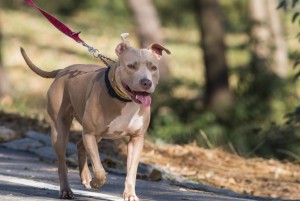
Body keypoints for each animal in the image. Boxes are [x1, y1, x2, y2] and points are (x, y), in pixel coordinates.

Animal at [20, 33, 171, 201]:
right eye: (131, 66)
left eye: (153, 68)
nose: (146, 82)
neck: (122, 98)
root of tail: (63, 71)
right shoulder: (90, 134)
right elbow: (99, 169)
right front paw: (96, 183)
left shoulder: (136, 139)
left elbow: (131, 171)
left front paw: (130, 194)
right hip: (60, 130)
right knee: (62, 163)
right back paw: (66, 190)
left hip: (94, 134)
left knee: (80, 145)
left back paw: (85, 176)